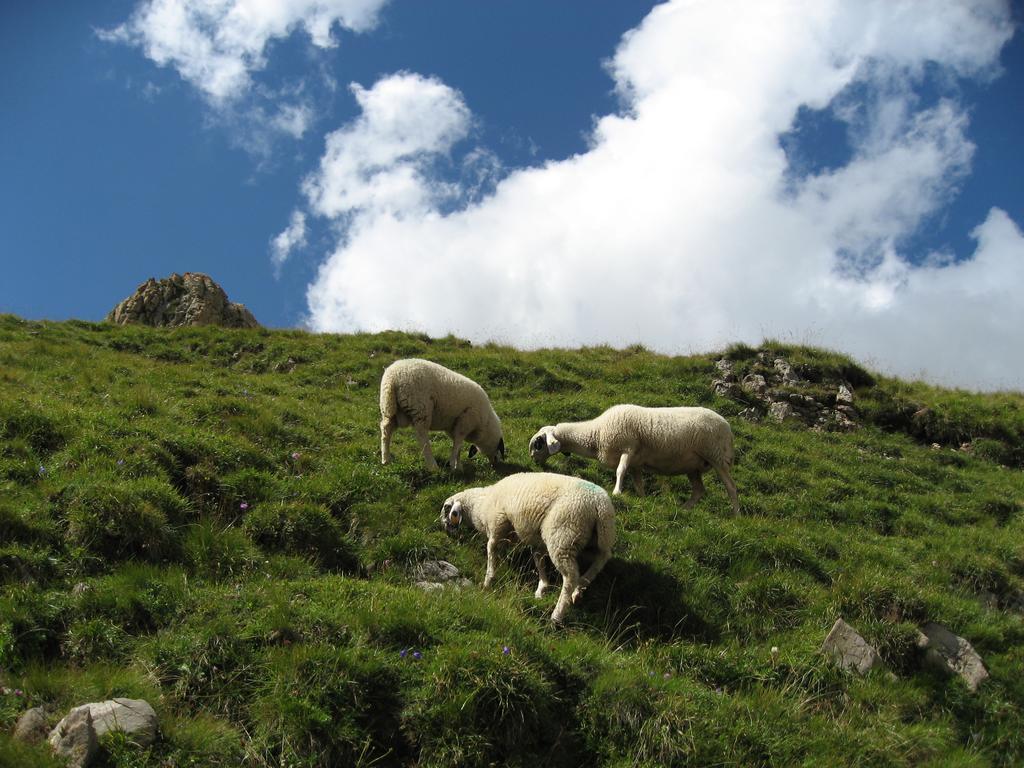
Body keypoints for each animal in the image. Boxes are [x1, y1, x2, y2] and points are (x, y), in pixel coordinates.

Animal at [440, 473, 614, 626]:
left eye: (447, 509)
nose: (444, 527)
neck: (480, 506)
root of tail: (599, 505)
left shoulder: (497, 526)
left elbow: (491, 552)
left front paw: (487, 582)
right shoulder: (535, 542)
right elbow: (538, 560)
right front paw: (542, 587)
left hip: (563, 535)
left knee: (570, 577)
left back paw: (557, 615)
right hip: (597, 539)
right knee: (599, 561)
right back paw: (578, 590)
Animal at [528, 403, 737, 518]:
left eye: (538, 443)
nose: (532, 461)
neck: (597, 433)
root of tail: (727, 425)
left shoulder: (628, 448)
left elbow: (620, 471)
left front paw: (617, 492)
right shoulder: (636, 462)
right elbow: (638, 484)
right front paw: (643, 501)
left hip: (717, 456)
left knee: (731, 487)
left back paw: (737, 515)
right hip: (693, 466)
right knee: (699, 490)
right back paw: (684, 509)